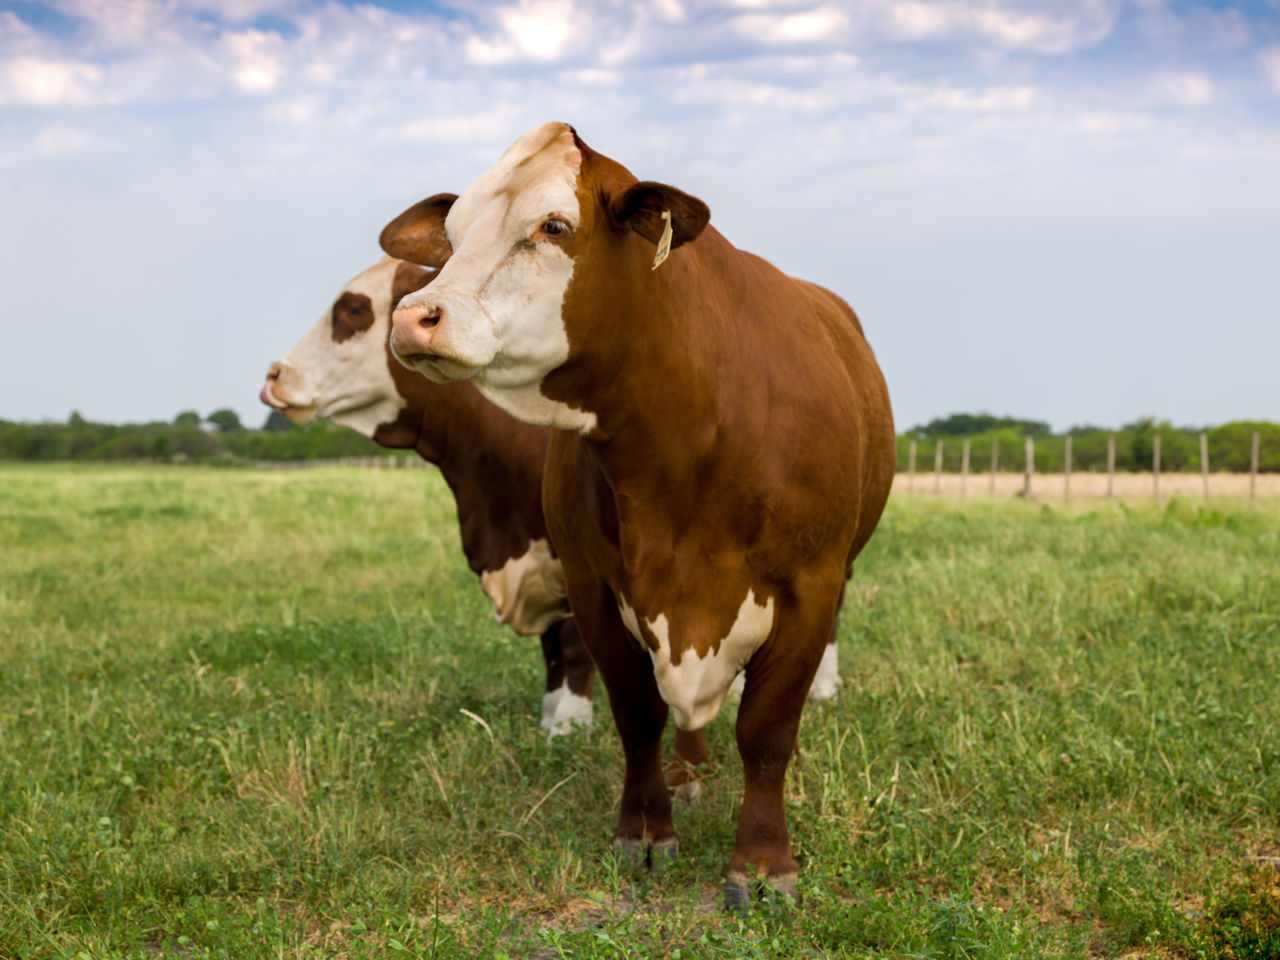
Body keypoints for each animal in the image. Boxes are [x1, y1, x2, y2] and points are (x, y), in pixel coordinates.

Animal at [263, 256, 599, 737]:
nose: (275, 375)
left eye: (352, 309)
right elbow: (552, 643)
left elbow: (572, 642)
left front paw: (569, 727)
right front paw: (551, 720)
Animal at [384, 122, 896, 911]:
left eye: (554, 227)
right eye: (452, 231)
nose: (413, 317)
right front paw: (646, 829)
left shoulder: (809, 586)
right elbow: (637, 713)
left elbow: (768, 729)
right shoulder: (594, 586)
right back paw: (688, 775)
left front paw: (762, 862)